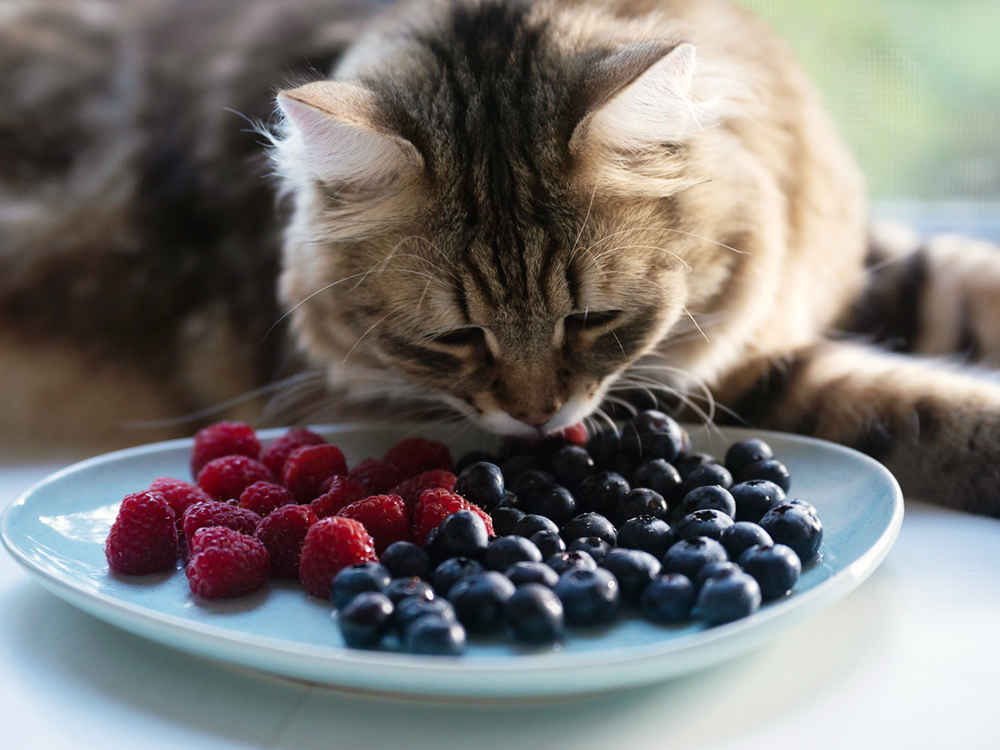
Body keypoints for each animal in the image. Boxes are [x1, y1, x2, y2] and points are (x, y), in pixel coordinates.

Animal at [1, 0, 1000, 516]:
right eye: (455, 339)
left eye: (593, 319)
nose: (536, 416)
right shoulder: (739, 379)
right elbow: (916, 412)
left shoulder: (852, 263)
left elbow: (963, 283)